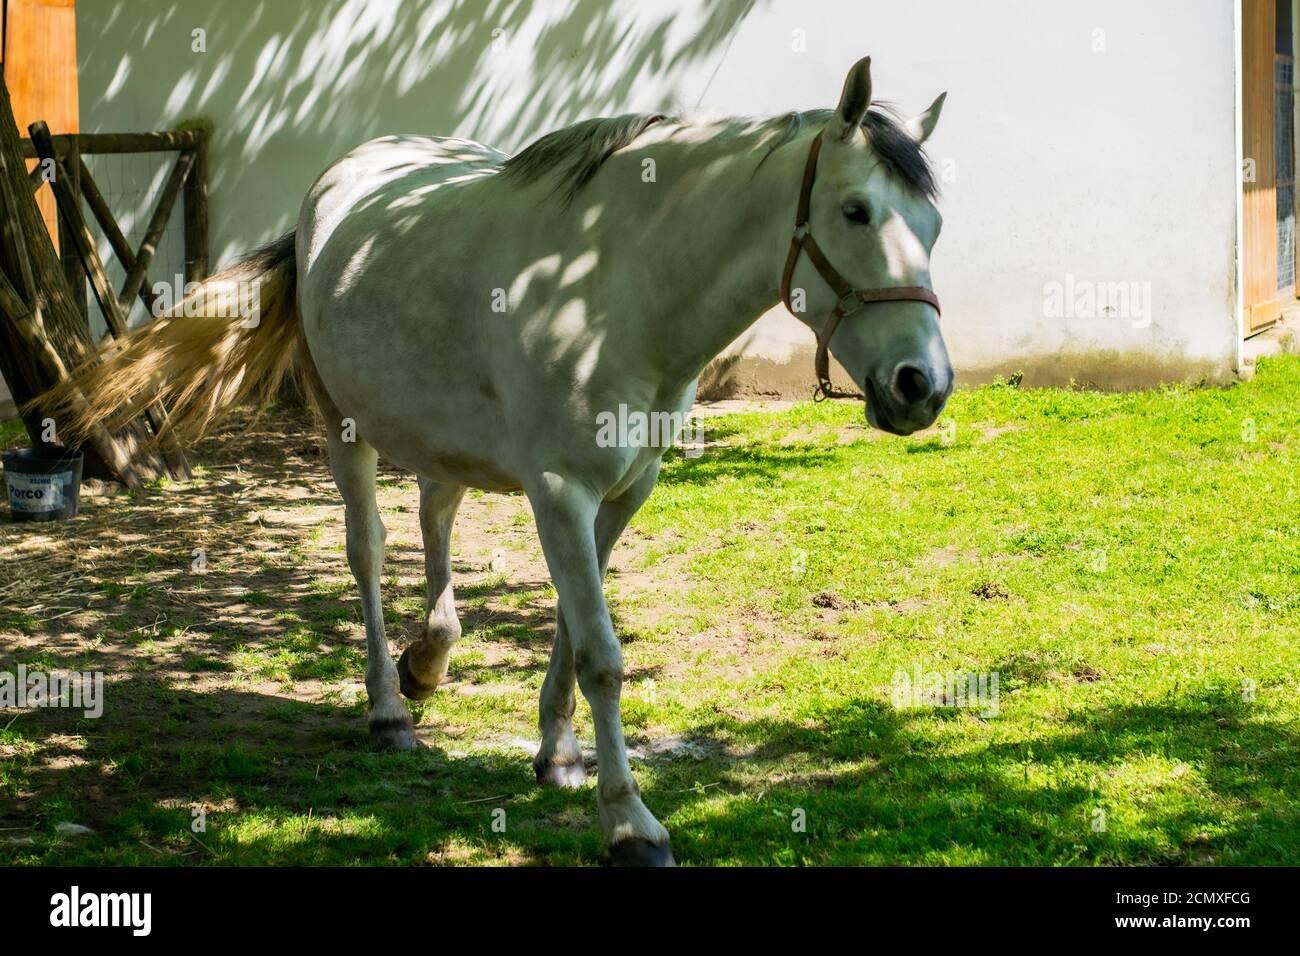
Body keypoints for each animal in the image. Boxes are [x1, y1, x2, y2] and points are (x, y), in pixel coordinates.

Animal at [50, 57, 951, 868]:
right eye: (856, 211)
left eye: (933, 228)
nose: (923, 385)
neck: (617, 289)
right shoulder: (559, 492)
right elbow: (600, 655)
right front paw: (630, 823)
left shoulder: (623, 493)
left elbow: (570, 628)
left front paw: (558, 754)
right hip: (346, 429)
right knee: (369, 552)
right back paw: (389, 706)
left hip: (439, 437)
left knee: (435, 522)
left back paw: (428, 660)